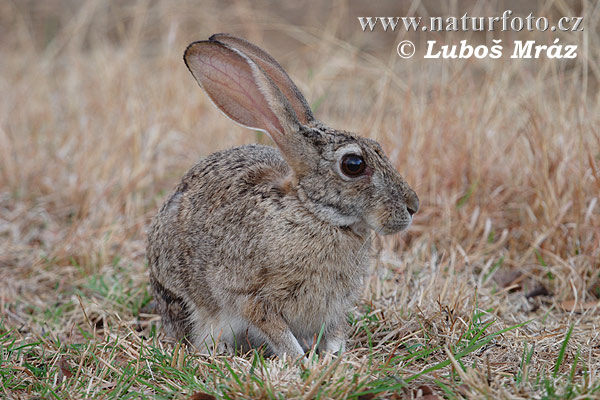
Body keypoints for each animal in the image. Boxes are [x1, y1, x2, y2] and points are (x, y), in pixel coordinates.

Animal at [146, 33, 418, 360]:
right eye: (354, 164)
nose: (413, 206)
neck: (314, 212)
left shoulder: (334, 307)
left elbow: (335, 332)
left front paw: (333, 357)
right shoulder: (251, 297)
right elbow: (276, 330)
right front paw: (302, 361)